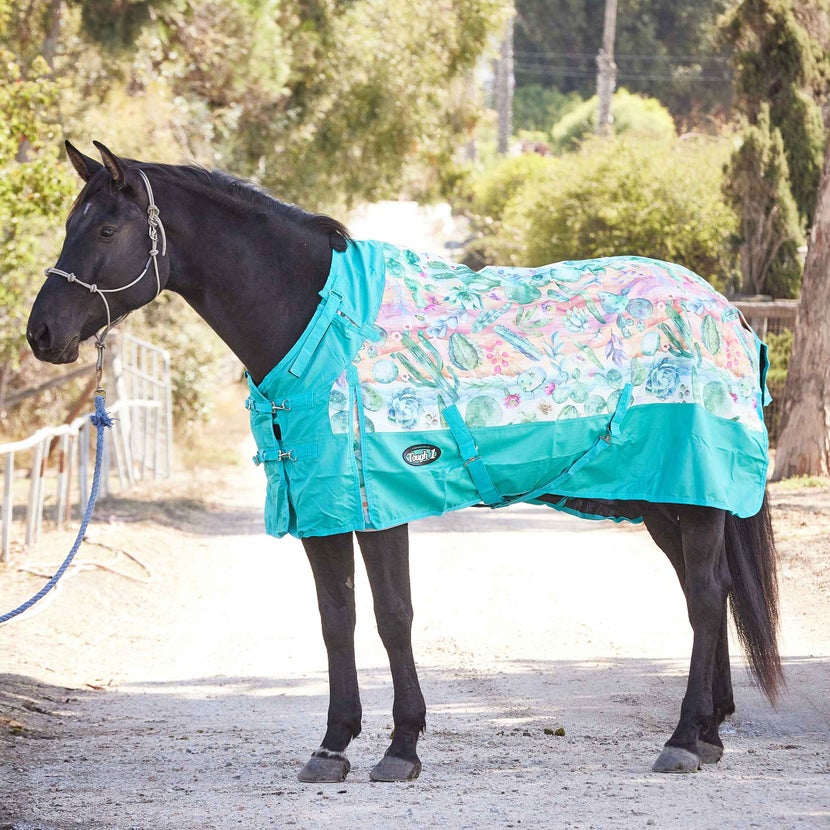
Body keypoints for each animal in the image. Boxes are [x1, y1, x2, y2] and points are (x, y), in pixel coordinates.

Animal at [27, 141, 782, 783]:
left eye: (105, 231)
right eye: (71, 224)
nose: (42, 333)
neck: (319, 320)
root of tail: (726, 310)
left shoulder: (379, 504)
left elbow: (393, 615)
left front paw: (402, 747)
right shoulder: (321, 506)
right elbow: (337, 618)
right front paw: (332, 746)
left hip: (691, 493)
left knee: (706, 594)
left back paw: (682, 740)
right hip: (669, 500)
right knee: (706, 592)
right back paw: (709, 733)